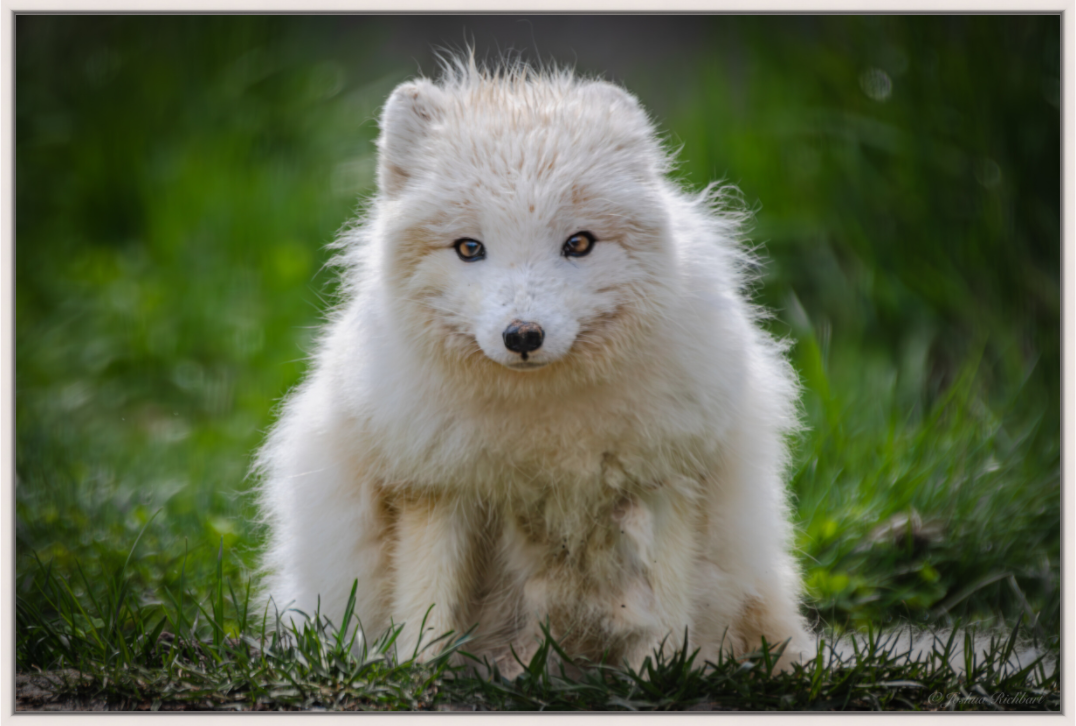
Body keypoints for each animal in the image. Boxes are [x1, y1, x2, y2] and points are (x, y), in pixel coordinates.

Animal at [256, 56, 813, 675]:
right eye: (469, 248)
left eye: (579, 243)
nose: (523, 335)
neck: (544, 429)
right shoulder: (434, 488)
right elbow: (427, 607)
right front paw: (418, 676)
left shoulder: (666, 480)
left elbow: (665, 617)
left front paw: (660, 679)